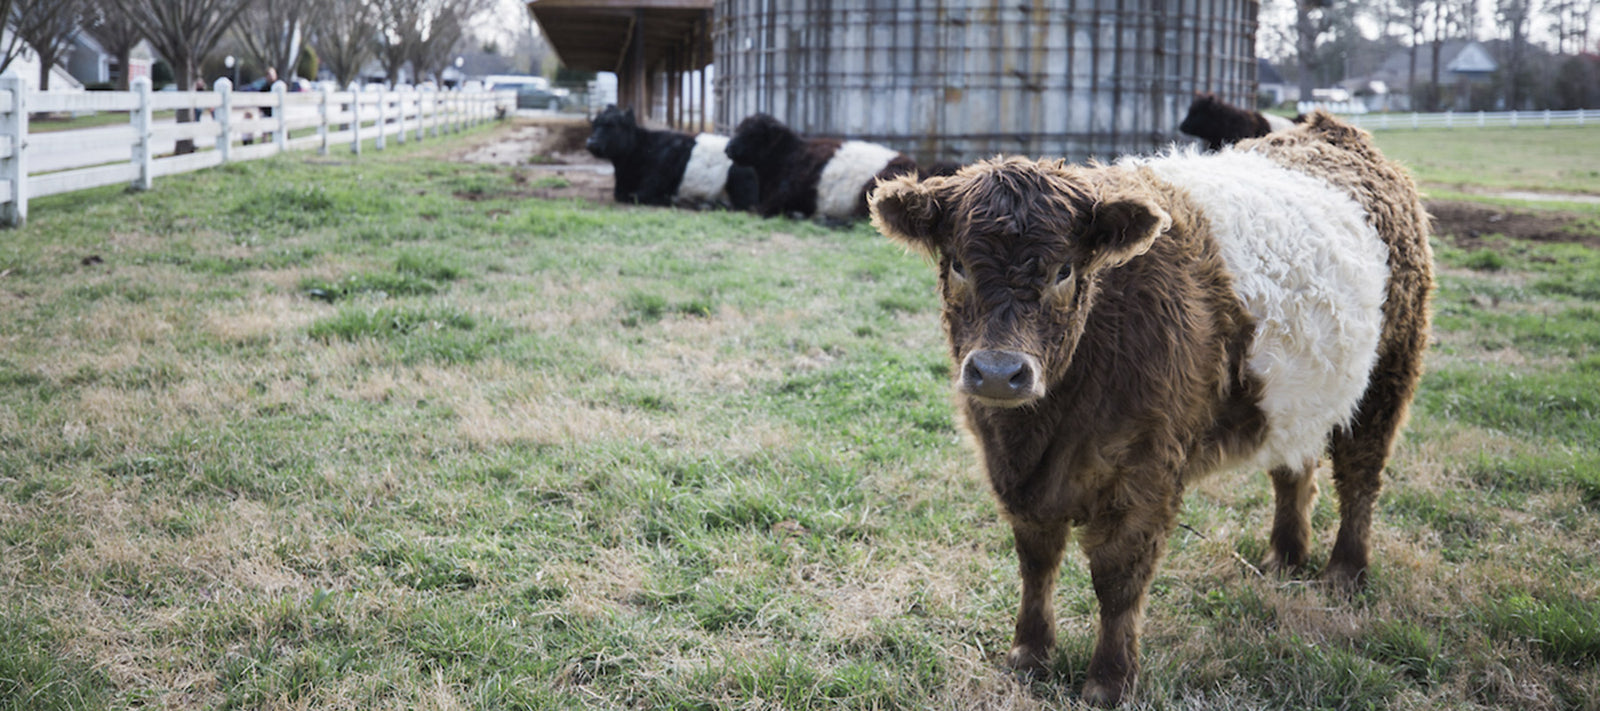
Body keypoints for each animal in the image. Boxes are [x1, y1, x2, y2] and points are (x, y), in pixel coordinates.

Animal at [585, 105, 758, 210]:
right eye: (594, 125)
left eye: (612, 126)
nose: (591, 142)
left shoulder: (652, 183)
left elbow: (637, 196)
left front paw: (675, 200)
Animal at [867, 111, 1433, 706]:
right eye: (956, 263)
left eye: (1065, 271)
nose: (999, 371)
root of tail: (1332, 131)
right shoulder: (1014, 472)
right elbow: (1036, 560)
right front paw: (1028, 655)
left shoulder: (1146, 471)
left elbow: (1118, 579)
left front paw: (1109, 681)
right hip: (1293, 397)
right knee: (1294, 469)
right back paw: (1284, 557)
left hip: (1390, 372)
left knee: (1361, 475)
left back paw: (1344, 573)